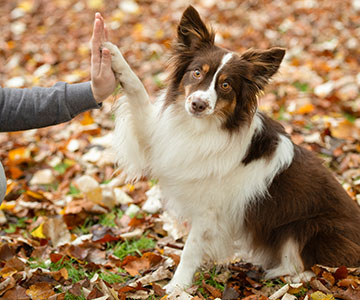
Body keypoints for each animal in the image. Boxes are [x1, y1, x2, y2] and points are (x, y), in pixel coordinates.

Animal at [104, 4, 360, 290]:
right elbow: (137, 91)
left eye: (225, 85)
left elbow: (191, 249)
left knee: (311, 269)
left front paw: (176, 288)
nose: (198, 104)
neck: (203, 128)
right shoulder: (156, 139)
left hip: (306, 228)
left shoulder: (210, 209)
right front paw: (113, 56)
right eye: (197, 72)